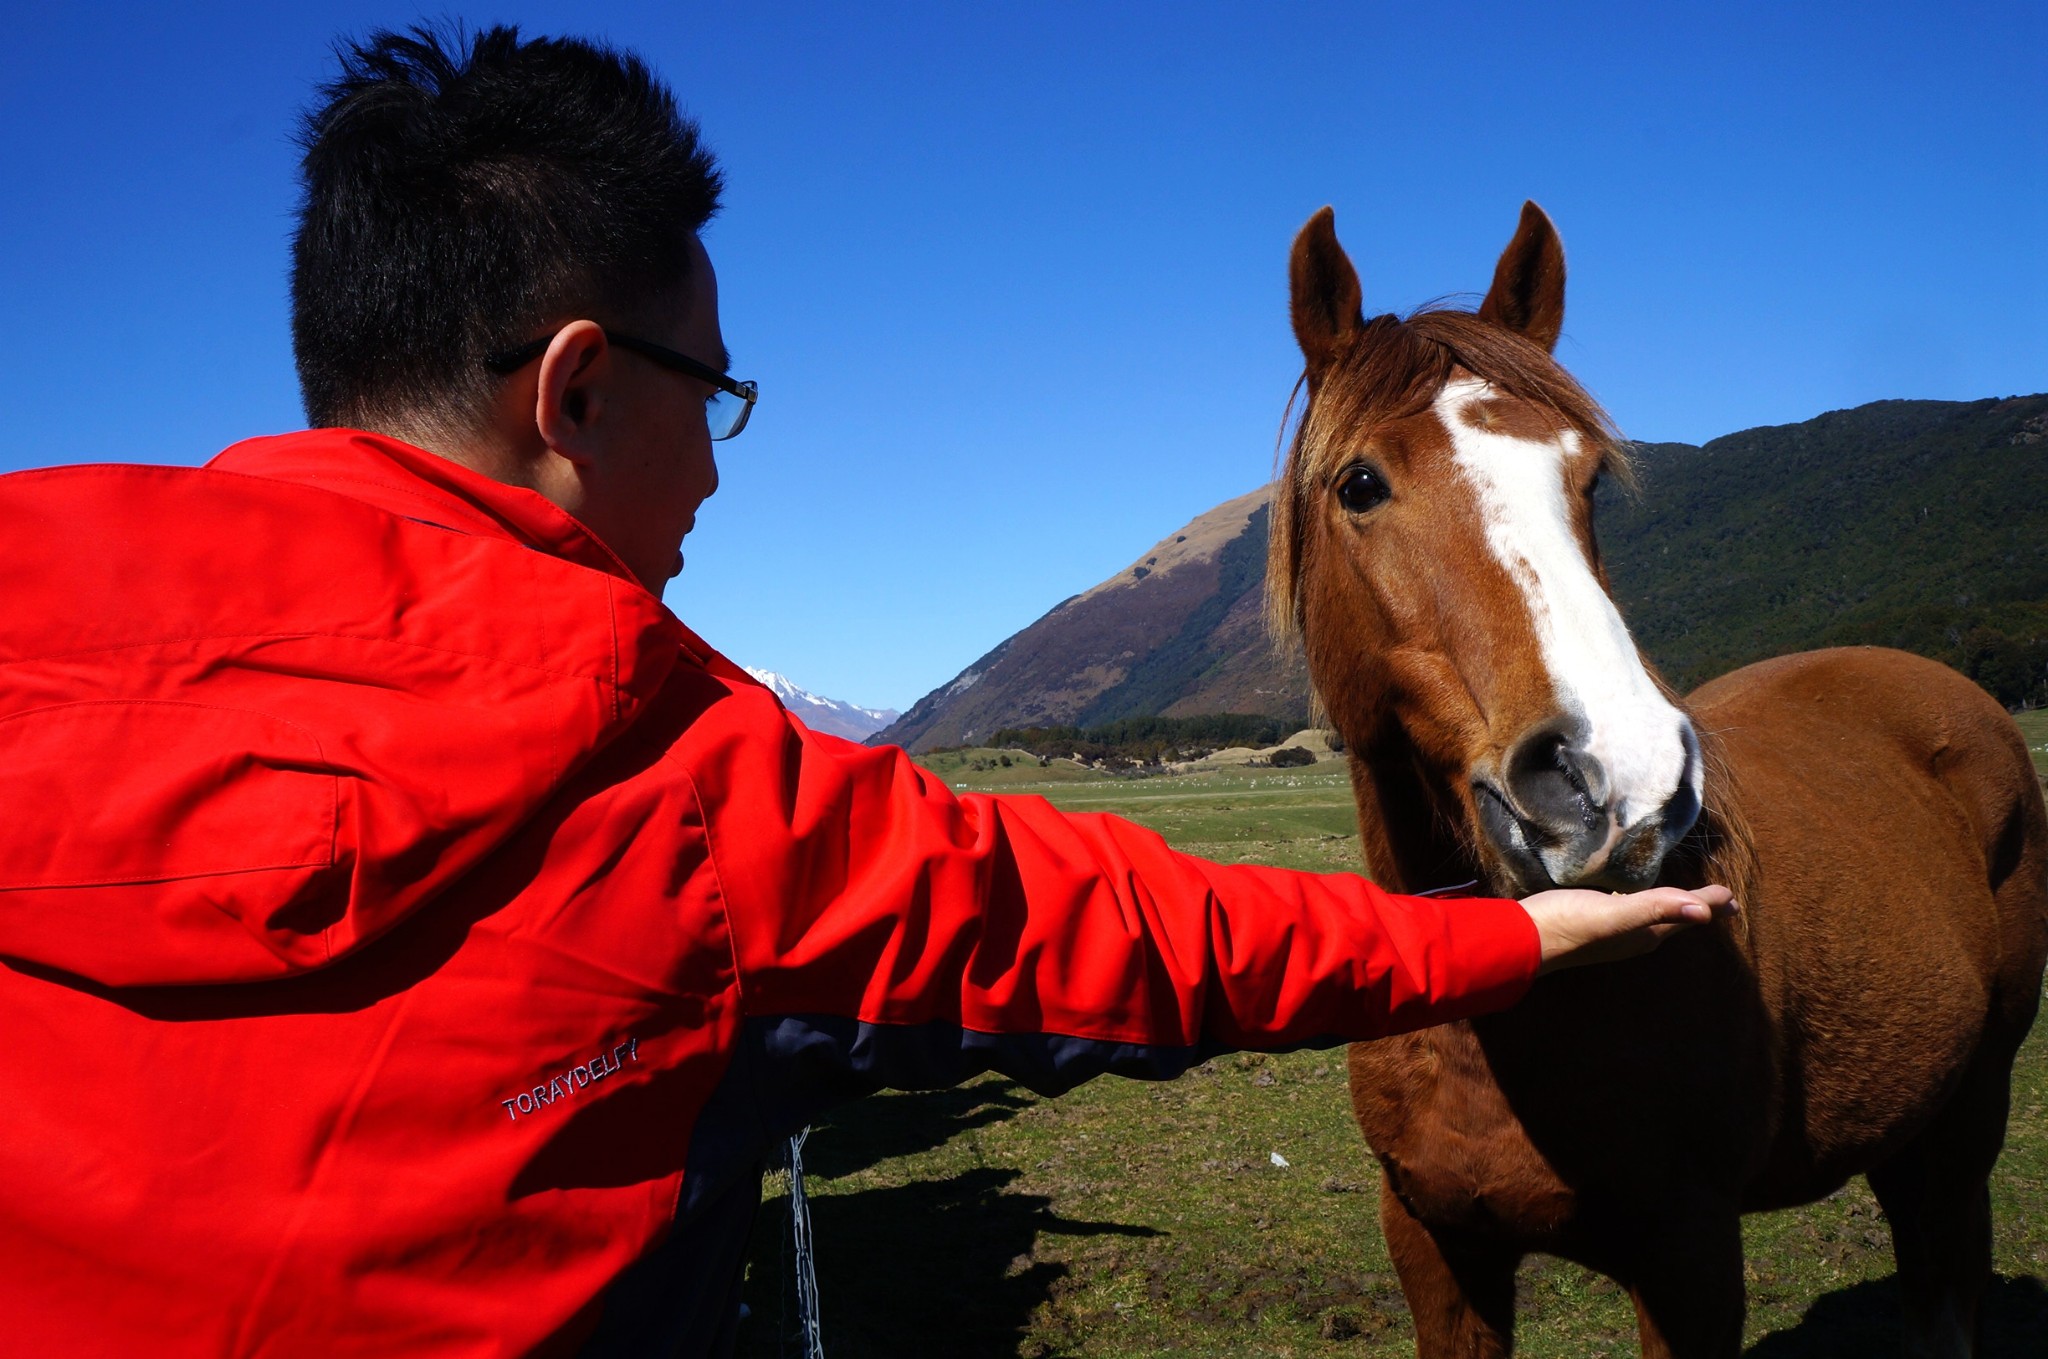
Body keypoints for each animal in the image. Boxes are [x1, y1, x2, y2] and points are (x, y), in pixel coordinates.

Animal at [1269, 204, 2048, 1358]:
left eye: (1587, 478)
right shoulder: (1435, 1243)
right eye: (1359, 483)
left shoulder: (1687, 1255)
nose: (1617, 779)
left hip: (1969, 1111)